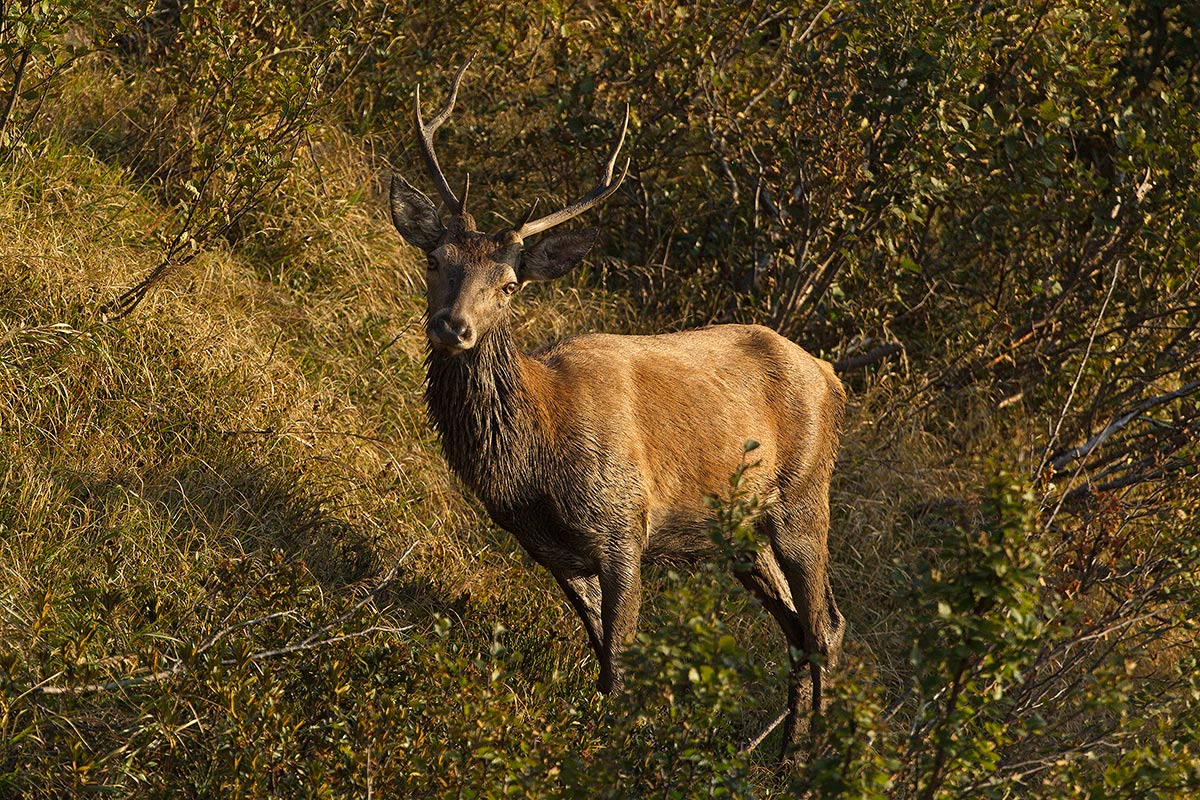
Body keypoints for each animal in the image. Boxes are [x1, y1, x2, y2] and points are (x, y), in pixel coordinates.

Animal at [388, 60, 847, 759]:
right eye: (436, 259)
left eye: (510, 284)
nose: (452, 327)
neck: (534, 464)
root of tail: (831, 376)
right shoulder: (550, 550)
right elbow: (599, 651)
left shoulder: (623, 526)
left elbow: (621, 661)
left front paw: (611, 747)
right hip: (741, 533)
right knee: (803, 628)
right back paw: (778, 756)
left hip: (802, 497)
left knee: (823, 628)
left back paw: (808, 757)